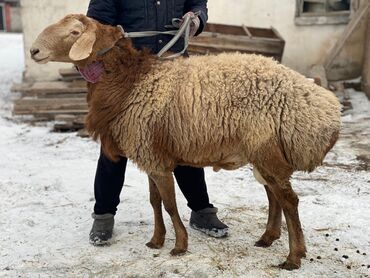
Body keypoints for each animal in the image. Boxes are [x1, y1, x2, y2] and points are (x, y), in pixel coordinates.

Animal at [31, 14, 342, 270]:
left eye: (74, 32)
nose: (34, 51)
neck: (131, 81)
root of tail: (327, 108)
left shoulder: (156, 160)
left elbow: (169, 204)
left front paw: (179, 245)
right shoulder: (150, 156)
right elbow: (155, 201)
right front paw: (156, 240)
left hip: (267, 151)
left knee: (289, 200)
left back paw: (293, 257)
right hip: (263, 154)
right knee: (274, 196)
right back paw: (267, 238)